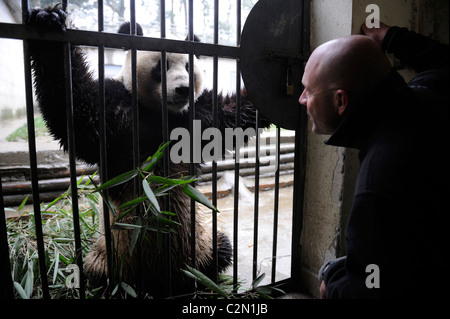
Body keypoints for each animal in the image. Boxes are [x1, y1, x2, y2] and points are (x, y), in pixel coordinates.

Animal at [26, 5, 268, 298]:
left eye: (189, 67)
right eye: (161, 67)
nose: (183, 89)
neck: (160, 113)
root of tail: (161, 284)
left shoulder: (197, 116)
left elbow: (236, 115)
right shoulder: (117, 114)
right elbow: (76, 114)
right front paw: (48, 24)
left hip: (200, 243)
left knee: (221, 248)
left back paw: (203, 280)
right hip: (110, 256)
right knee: (96, 274)